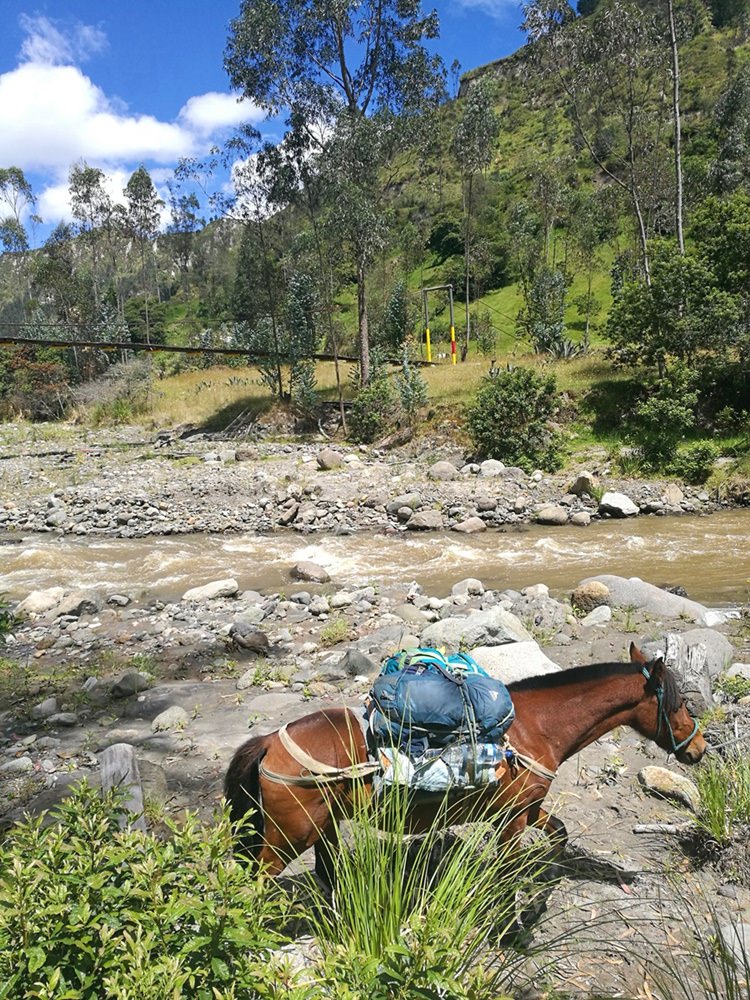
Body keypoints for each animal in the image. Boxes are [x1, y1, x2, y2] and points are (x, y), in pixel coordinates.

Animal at [226, 644, 708, 880]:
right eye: (681, 702)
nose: (700, 748)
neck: (535, 729)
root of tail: (271, 741)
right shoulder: (512, 820)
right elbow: (508, 868)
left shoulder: (529, 809)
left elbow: (560, 834)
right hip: (290, 836)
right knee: (260, 882)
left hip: (323, 829)